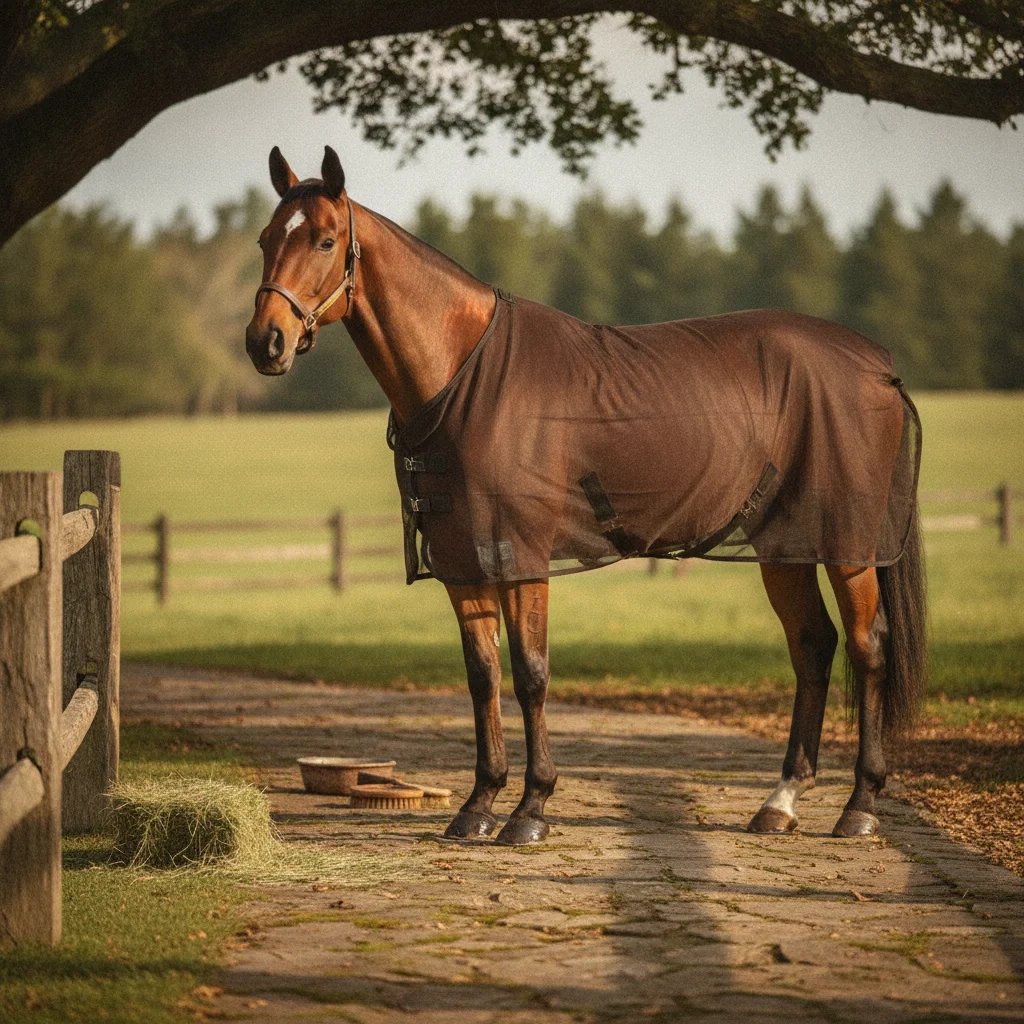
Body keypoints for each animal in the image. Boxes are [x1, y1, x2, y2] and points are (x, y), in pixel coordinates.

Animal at [245, 146, 927, 847]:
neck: (466, 377)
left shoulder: (519, 557)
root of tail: (877, 366)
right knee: (813, 646)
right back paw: (781, 801)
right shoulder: (464, 561)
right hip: (783, 544)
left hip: (848, 547)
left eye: (326, 240)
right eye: (267, 238)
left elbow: (531, 674)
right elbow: (483, 675)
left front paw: (531, 809)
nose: (265, 342)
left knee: (868, 647)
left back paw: (859, 807)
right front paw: (478, 805)